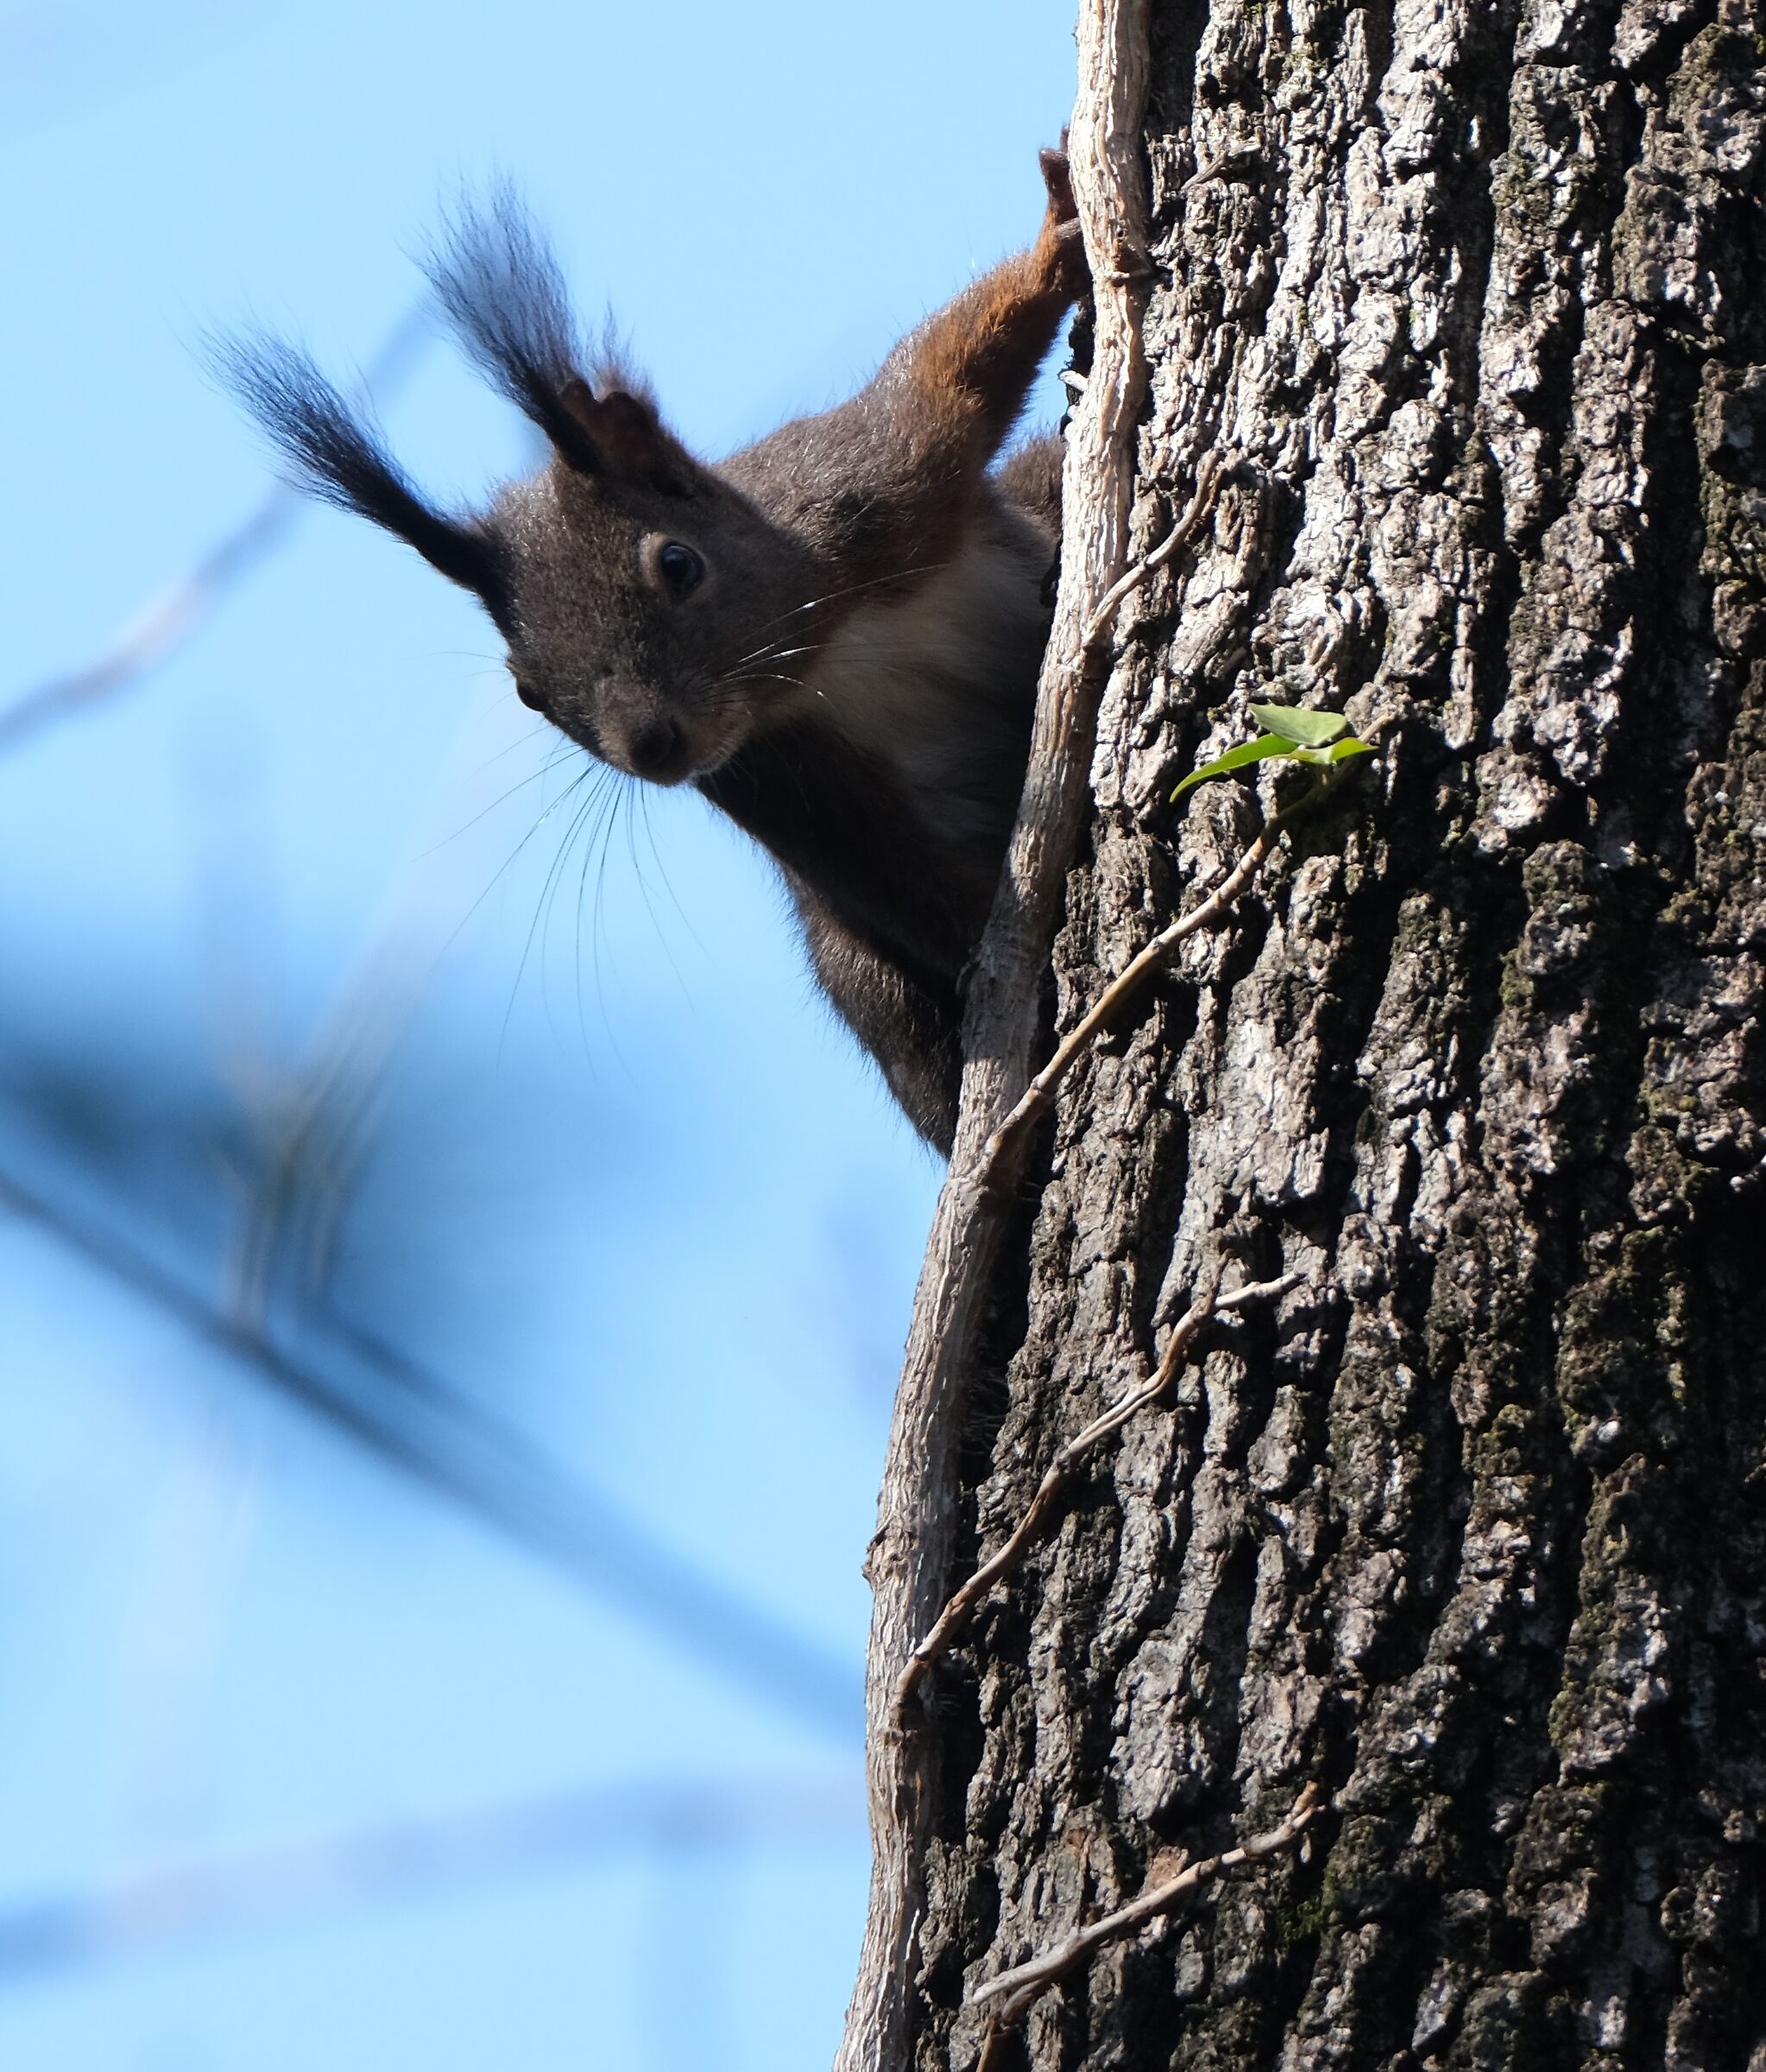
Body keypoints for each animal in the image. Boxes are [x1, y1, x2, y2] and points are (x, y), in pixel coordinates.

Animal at [228, 149, 1087, 1153]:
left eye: (676, 564)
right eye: (527, 693)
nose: (652, 748)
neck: (822, 660)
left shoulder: (869, 488)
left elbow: (951, 375)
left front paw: (1057, 237)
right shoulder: (793, 788)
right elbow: (918, 890)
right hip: (858, 971)